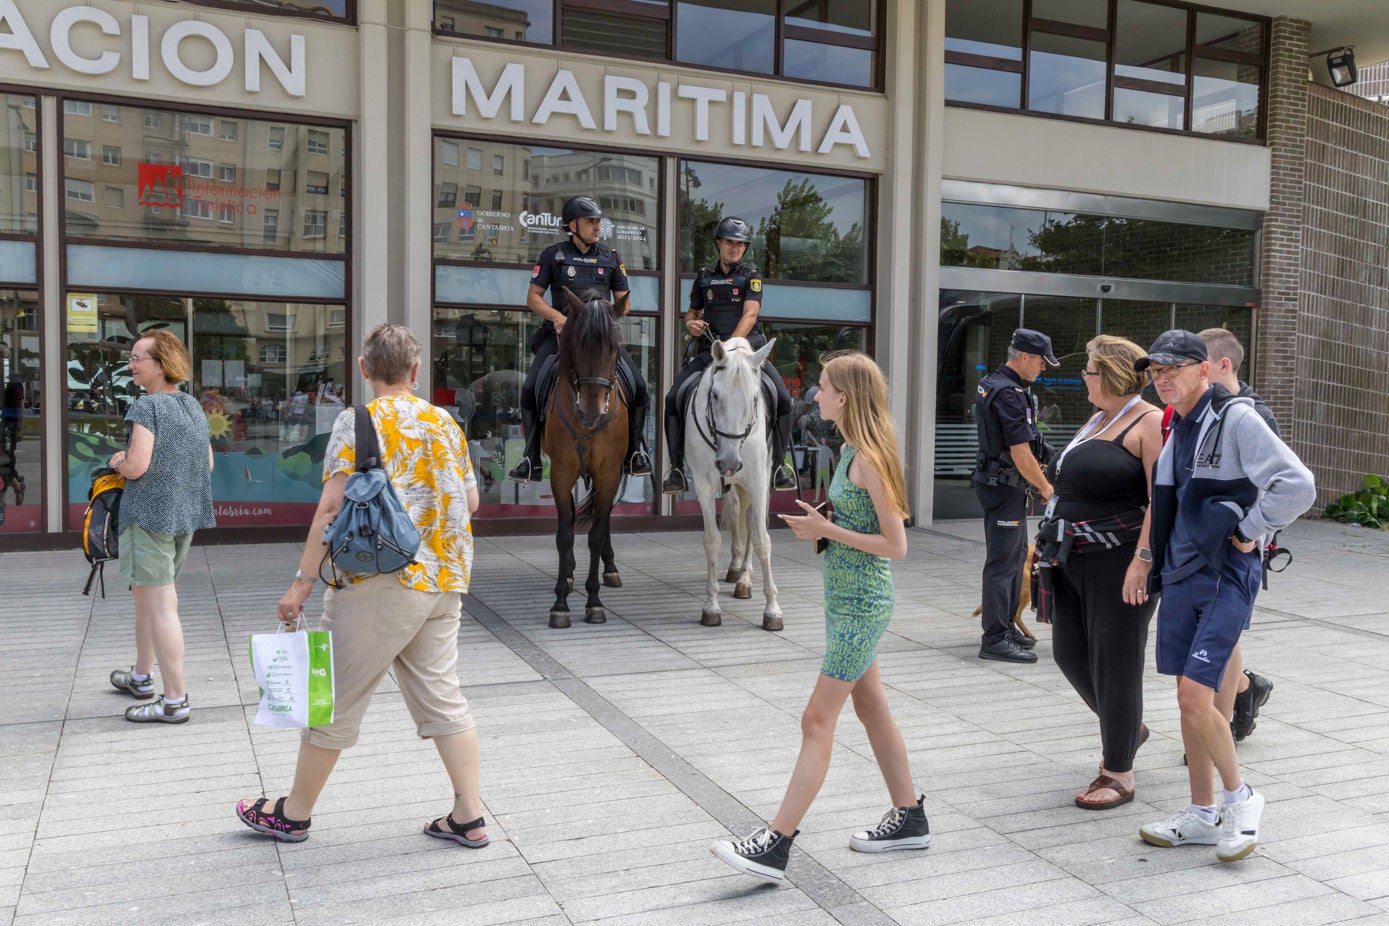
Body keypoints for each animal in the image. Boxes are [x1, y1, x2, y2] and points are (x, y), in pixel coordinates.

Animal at [544, 285, 633, 627]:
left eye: (615, 346)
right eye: (580, 344)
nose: (591, 413)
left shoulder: (609, 473)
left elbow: (595, 535)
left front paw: (594, 602)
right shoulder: (560, 473)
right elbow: (564, 535)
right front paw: (560, 604)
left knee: (602, 520)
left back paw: (610, 569)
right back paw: (568, 575)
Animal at [683, 337, 783, 633]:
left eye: (755, 398)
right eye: (715, 395)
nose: (729, 462)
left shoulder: (758, 480)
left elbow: (761, 538)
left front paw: (772, 610)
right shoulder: (704, 484)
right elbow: (712, 540)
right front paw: (711, 606)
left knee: (749, 522)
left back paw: (744, 580)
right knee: (738, 512)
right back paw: (735, 569)